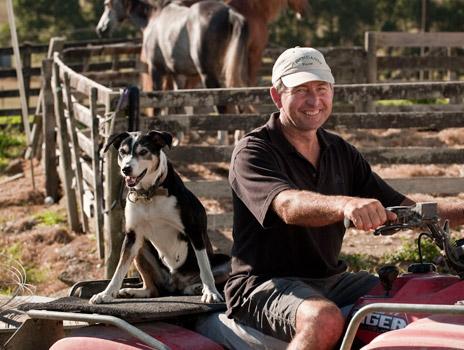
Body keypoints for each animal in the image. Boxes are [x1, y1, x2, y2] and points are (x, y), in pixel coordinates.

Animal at [89, 131, 229, 304]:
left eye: (143, 152)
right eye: (122, 152)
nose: (126, 169)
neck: (149, 194)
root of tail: (175, 283)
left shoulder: (194, 230)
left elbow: (204, 267)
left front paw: (210, 292)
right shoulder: (132, 236)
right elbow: (119, 270)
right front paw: (106, 294)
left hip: (227, 262)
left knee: (195, 281)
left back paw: (197, 288)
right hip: (141, 247)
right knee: (153, 290)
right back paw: (133, 292)